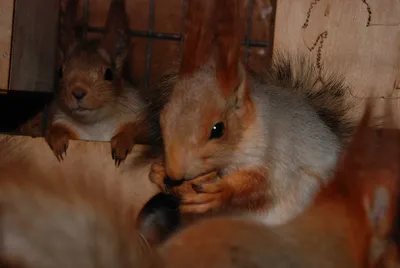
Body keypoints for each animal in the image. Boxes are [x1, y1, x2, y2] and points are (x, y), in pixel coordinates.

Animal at [44, 0, 155, 165]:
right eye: (60, 72)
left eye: (109, 73)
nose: (78, 92)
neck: (95, 125)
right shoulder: (61, 118)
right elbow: (56, 128)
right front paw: (57, 137)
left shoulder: (138, 116)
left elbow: (137, 132)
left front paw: (122, 141)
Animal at [150, 0, 356, 225]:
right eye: (162, 118)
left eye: (218, 130)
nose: (174, 173)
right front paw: (158, 171)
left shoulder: (274, 151)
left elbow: (261, 181)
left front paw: (222, 190)